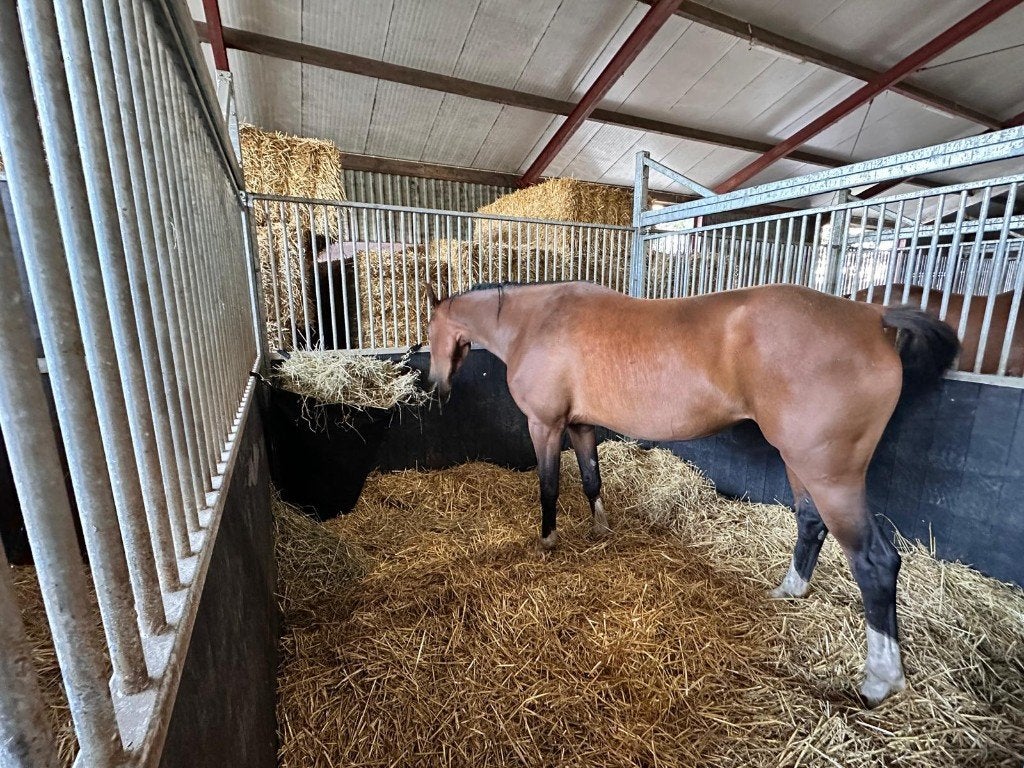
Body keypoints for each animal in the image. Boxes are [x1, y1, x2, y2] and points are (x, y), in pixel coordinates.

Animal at [424, 280, 959, 707]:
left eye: (428, 330)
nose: (437, 386)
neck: (536, 320)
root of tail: (873, 317)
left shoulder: (547, 425)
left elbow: (550, 485)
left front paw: (548, 540)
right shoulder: (580, 425)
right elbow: (592, 479)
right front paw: (600, 529)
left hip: (833, 477)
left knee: (875, 562)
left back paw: (880, 679)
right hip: (801, 465)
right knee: (810, 522)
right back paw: (789, 590)